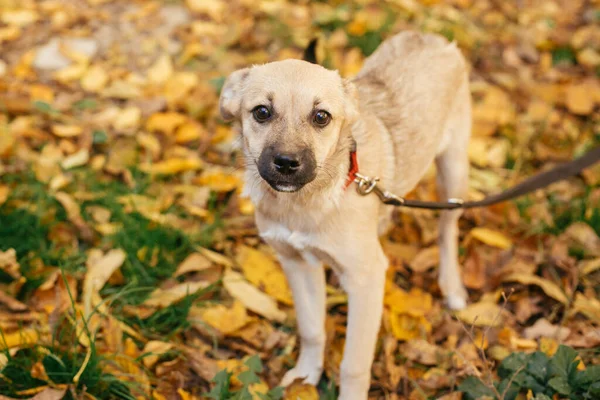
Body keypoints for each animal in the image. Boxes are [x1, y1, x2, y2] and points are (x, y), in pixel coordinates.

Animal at [218, 31, 472, 400]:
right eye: (261, 112)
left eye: (321, 117)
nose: (286, 163)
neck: (306, 204)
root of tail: (428, 36)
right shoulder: (297, 263)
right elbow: (312, 329)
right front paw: (305, 375)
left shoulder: (367, 281)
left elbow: (354, 363)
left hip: (454, 171)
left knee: (447, 229)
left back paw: (452, 285)